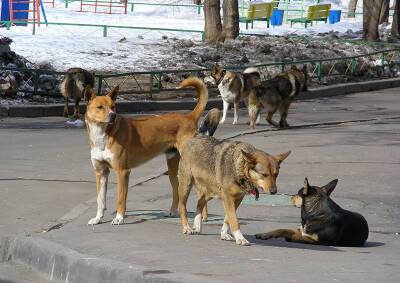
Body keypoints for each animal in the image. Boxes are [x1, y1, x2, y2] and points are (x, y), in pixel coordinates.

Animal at [84, 77, 216, 226]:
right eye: (100, 107)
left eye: (113, 107)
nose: (113, 116)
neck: (103, 134)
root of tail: (189, 117)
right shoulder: (101, 172)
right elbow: (100, 200)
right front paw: (98, 218)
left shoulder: (123, 172)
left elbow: (121, 198)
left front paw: (119, 218)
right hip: (172, 168)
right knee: (176, 189)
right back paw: (173, 212)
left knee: (201, 189)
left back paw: (203, 217)